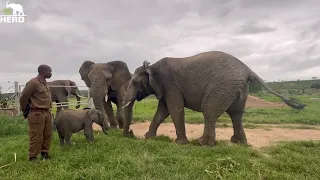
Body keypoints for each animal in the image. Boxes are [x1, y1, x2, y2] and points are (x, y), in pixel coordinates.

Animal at [121, 50, 306, 146]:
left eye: (135, 82)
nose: (130, 134)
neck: (152, 66)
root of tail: (248, 70)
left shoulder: (171, 85)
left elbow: (174, 109)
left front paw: (181, 144)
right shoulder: (166, 88)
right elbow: (162, 111)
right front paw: (148, 137)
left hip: (223, 86)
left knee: (209, 112)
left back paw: (203, 143)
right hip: (238, 88)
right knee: (236, 114)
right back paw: (238, 143)